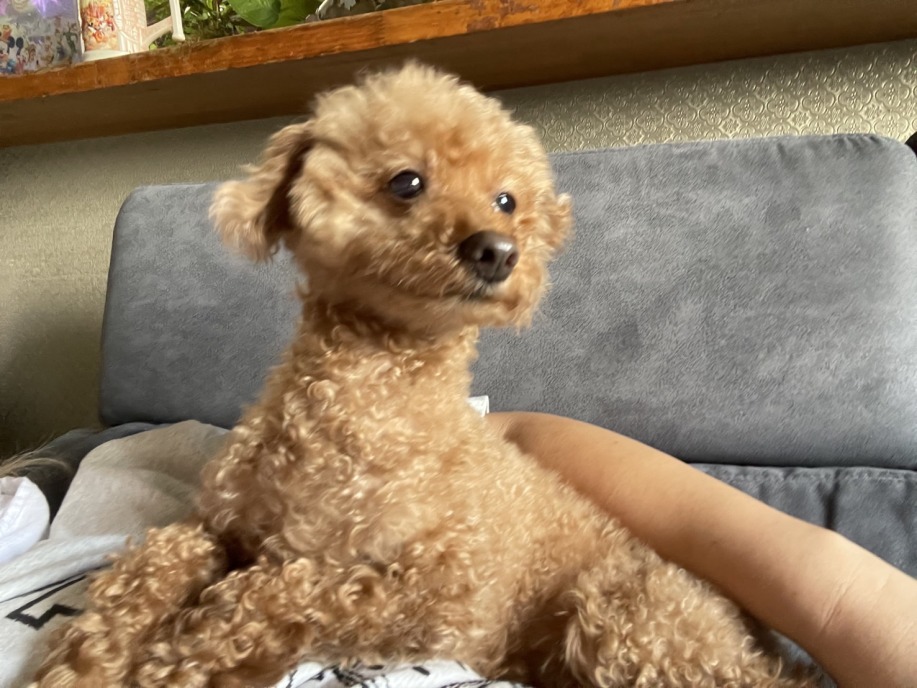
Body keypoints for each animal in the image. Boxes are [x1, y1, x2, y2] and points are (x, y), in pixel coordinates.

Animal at [33, 63, 816, 688]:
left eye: (506, 200)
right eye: (407, 181)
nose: (497, 250)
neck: (368, 393)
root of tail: (766, 654)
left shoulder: (439, 590)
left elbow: (278, 593)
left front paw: (178, 656)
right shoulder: (218, 527)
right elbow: (157, 560)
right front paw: (91, 657)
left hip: (622, 615)